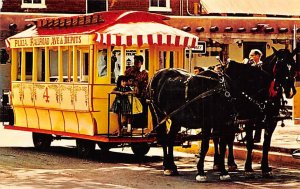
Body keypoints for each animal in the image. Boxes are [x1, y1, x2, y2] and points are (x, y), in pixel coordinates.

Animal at [146, 47, 296, 182]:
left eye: (294, 64)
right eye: (280, 65)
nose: (290, 91)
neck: (226, 86)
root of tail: (158, 74)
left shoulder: (237, 121)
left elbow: (255, 145)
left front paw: (227, 171)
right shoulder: (213, 121)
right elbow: (208, 145)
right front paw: (201, 172)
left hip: (177, 118)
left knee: (171, 138)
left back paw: (173, 166)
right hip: (159, 114)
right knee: (164, 138)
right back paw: (167, 166)